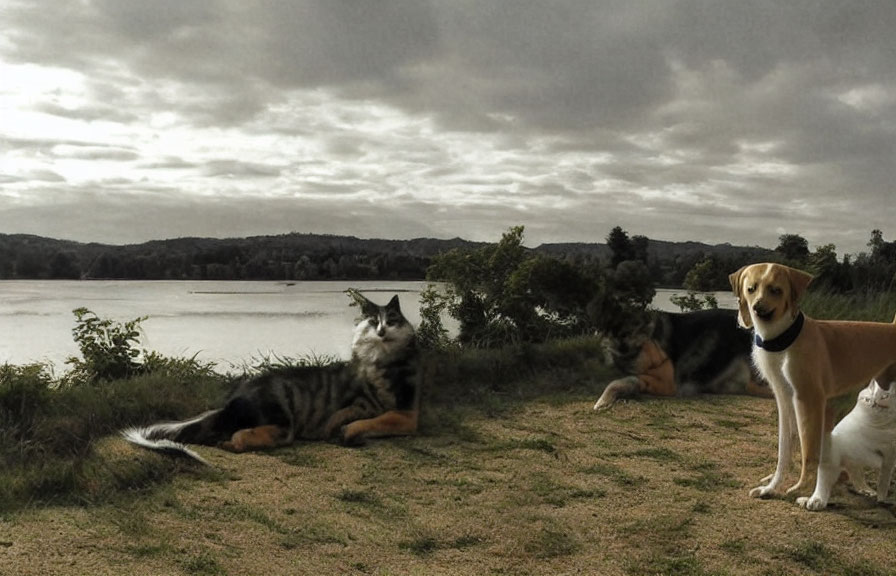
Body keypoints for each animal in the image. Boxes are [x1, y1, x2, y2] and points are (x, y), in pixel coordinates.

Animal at [596, 306, 768, 410]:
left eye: (628, 334)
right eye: (615, 335)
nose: (622, 349)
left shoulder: (667, 383)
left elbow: (621, 380)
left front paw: (603, 400)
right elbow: (627, 379)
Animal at [800, 380, 896, 510]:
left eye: (884, 397)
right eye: (867, 399)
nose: (874, 403)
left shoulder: (888, 454)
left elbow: (883, 481)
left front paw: (880, 498)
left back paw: (869, 492)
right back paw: (815, 501)